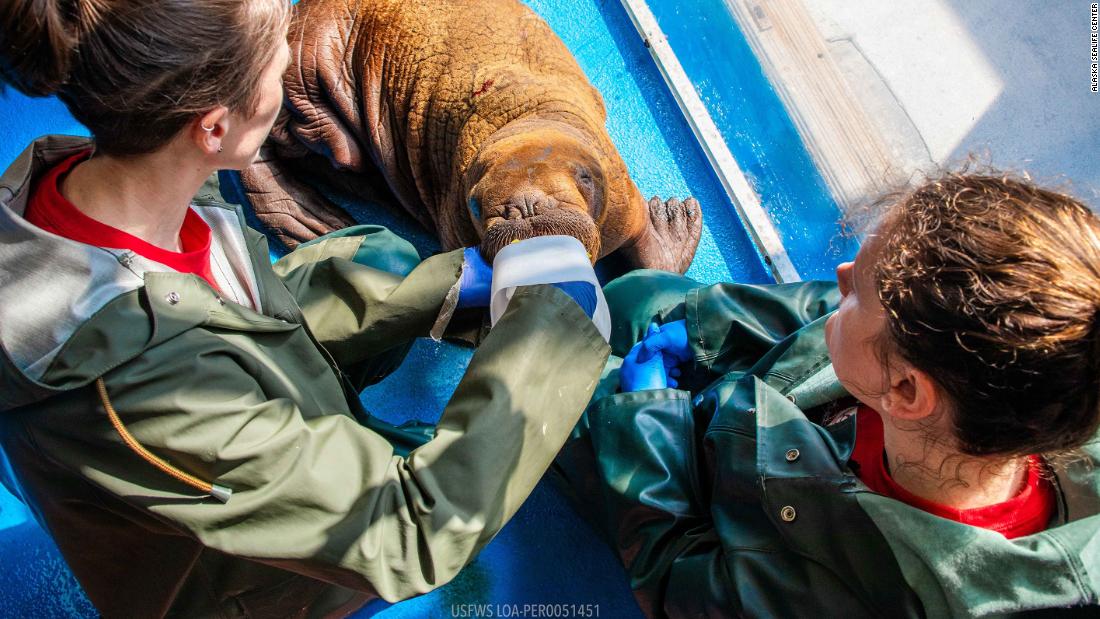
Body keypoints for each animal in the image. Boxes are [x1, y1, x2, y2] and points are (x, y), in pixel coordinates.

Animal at [242, 0, 704, 272]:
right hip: (303, 63)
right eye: (476, 204)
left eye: (584, 179)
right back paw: (314, 219)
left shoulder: (622, 199)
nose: (525, 206)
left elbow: (651, 257)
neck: (526, 113)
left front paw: (672, 223)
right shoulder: (455, 225)